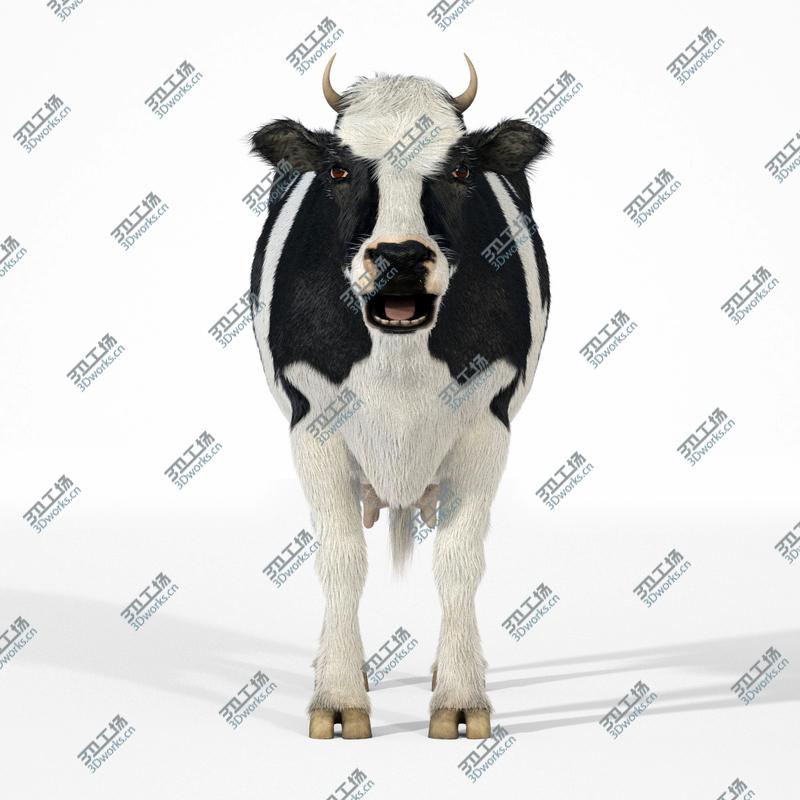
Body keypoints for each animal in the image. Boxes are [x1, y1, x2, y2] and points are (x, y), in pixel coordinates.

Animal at [249, 54, 551, 740]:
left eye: (460, 170)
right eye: (340, 170)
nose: (401, 256)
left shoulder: (488, 424)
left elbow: (459, 562)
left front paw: (461, 696)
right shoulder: (312, 422)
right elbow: (340, 560)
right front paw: (338, 695)